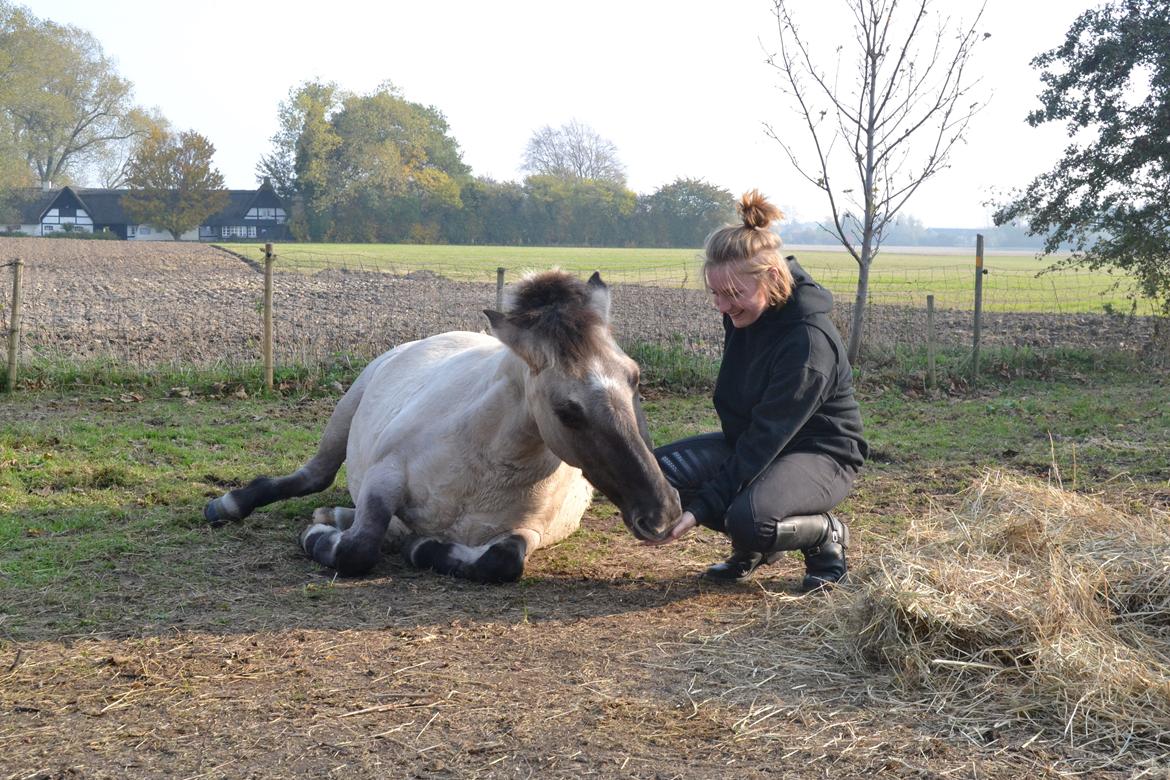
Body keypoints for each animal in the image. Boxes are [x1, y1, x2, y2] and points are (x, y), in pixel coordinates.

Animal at [204, 271, 683, 582]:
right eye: (567, 411)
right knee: (314, 476)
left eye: (634, 377)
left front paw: (421, 547)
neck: (485, 466)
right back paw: (230, 506)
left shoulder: (531, 530)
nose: (663, 513)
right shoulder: (384, 476)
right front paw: (317, 536)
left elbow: (501, 562)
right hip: (344, 413)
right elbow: (358, 550)